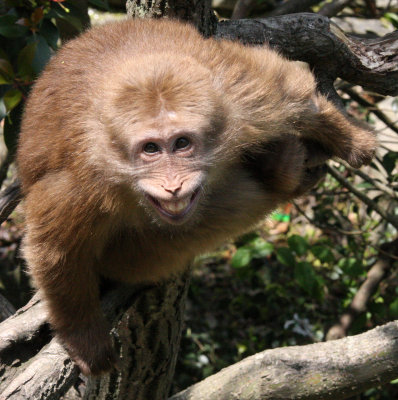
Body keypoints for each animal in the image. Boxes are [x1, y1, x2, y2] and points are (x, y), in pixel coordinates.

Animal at [16, 18, 376, 376]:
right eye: (151, 149)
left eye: (182, 144)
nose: (173, 185)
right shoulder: (80, 181)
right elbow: (57, 251)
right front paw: (84, 336)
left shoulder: (241, 102)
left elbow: (291, 90)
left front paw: (350, 138)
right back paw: (282, 170)